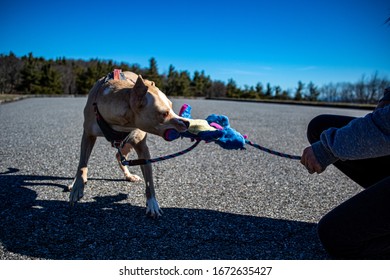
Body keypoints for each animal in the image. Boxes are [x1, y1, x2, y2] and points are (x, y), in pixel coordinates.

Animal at [69, 71, 190, 218]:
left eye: (172, 107)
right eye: (164, 113)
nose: (187, 123)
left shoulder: (142, 149)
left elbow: (149, 181)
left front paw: (152, 203)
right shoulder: (88, 135)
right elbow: (82, 164)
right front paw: (77, 186)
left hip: (128, 143)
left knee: (119, 156)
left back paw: (129, 175)